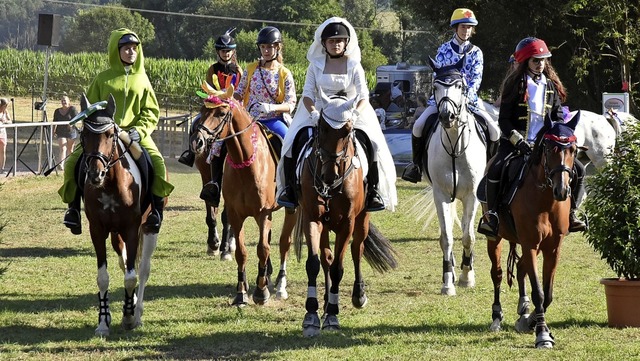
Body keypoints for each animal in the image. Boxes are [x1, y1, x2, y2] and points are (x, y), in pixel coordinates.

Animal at [75, 93, 159, 334]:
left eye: (111, 134)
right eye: (84, 134)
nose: (96, 174)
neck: (111, 184)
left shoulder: (132, 229)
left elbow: (132, 277)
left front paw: (129, 317)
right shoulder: (97, 230)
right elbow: (103, 277)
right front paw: (103, 322)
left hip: (148, 229)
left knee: (143, 269)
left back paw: (137, 312)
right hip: (115, 234)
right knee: (124, 262)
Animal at [189, 83, 298, 304]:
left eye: (221, 113)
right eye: (203, 111)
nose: (198, 141)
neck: (247, 164)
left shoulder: (263, 213)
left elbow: (262, 249)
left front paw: (261, 292)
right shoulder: (236, 214)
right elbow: (242, 251)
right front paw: (241, 292)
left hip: (291, 211)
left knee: (284, 244)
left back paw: (280, 285)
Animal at [294, 91, 396, 336]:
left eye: (348, 130)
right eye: (321, 127)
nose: (329, 175)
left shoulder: (347, 224)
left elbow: (339, 268)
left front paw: (332, 315)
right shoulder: (313, 219)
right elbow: (314, 264)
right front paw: (312, 315)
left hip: (362, 219)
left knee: (356, 250)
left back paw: (357, 296)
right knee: (326, 258)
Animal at [422, 57, 488, 296]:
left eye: (460, 85)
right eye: (435, 86)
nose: (446, 116)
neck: (454, 147)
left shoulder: (472, 196)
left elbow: (468, 236)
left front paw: (467, 276)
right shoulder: (441, 194)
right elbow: (447, 238)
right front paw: (447, 282)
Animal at [482, 113, 584, 348]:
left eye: (573, 149)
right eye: (548, 149)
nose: (562, 190)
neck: (545, 200)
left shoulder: (552, 248)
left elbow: (548, 293)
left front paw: (530, 321)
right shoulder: (530, 244)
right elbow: (539, 292)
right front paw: (542, 334)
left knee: (520, 268)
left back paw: (523, 308)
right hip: (495, 238)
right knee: (497, 274)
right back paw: (497, 317)